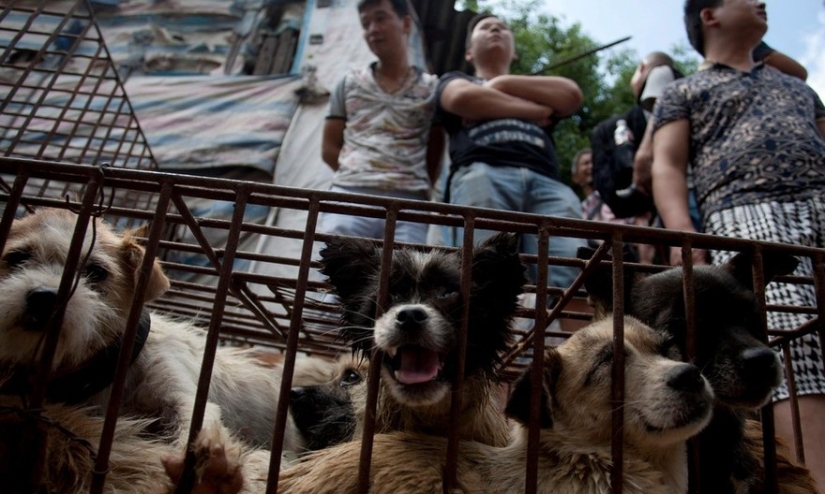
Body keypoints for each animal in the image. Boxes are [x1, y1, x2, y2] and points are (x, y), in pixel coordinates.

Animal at [0, 207, 328, 490]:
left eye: (96, 272)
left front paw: (209, 471)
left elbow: (192, 420)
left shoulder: (177, 389)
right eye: (16, 257)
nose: (44, 297)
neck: (113, 371)